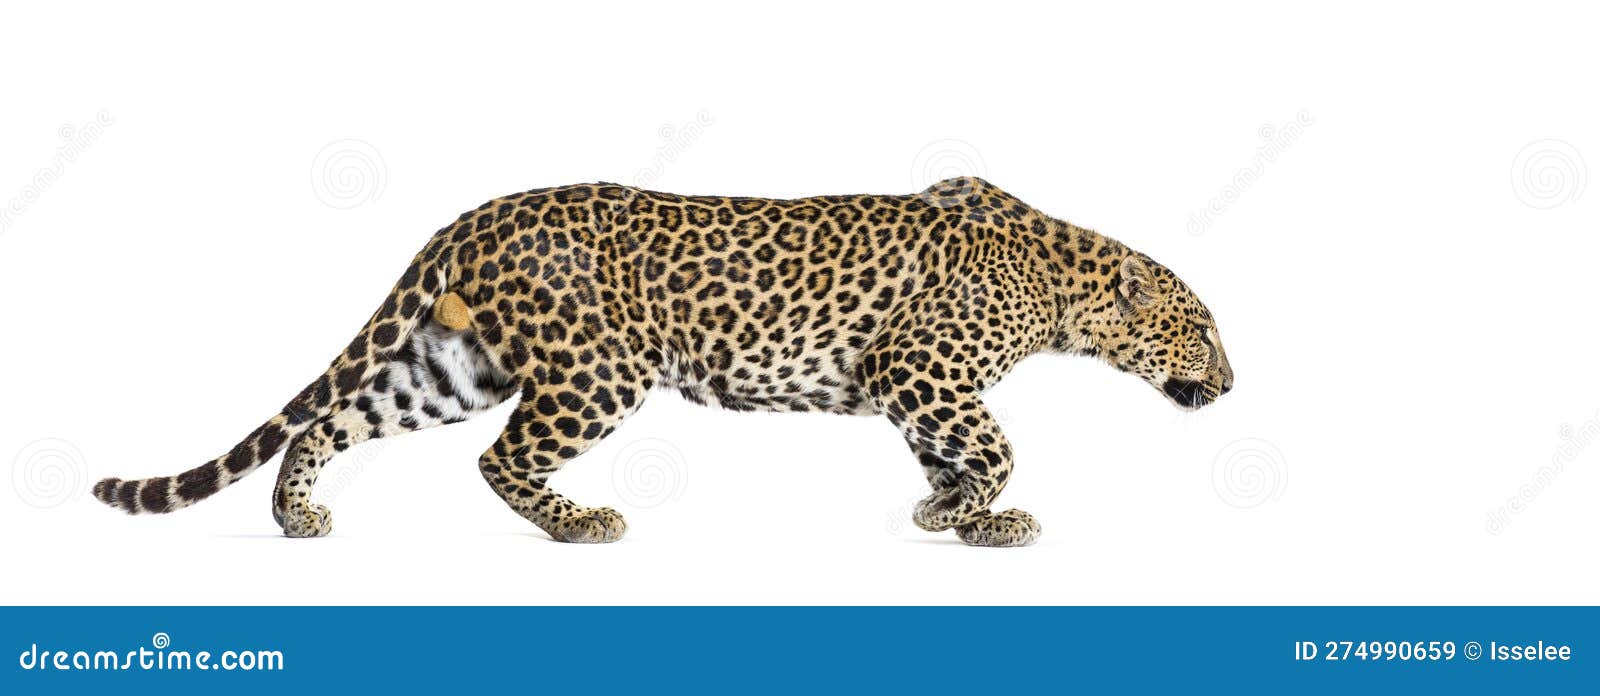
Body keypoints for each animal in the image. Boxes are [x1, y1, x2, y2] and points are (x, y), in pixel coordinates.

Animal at [92, 177, 1233, 547]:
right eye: (1206, 331)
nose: (1228, 386)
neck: (1064, 287)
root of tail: (478, 212)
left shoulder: (918, 392)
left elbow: (952, 455)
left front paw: (951, 517)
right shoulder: (919, 370)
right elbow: (995, 448)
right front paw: (976, 518)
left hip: (454, 363)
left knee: (337, 420)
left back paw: (297, 517)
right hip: (596, 372)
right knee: (501, 460)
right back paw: (580, 525)